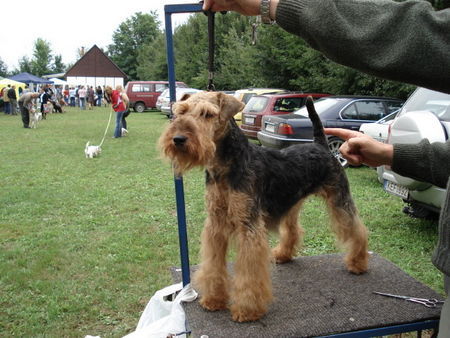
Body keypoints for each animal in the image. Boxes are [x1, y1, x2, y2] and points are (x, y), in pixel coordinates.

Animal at [160, 92, 368, 322]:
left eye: (207, 114)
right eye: (181, 111)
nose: (178, 139)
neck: (226, 165)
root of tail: (321, 145)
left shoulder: (248, 225)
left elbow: (249, 274)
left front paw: (247, 310)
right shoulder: (216, 223)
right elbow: (214, 265)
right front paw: (214, 300)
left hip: (340, 201)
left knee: (357, 230)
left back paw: (357, 263)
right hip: (292, 202)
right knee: (292, 231)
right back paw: (283, 254)